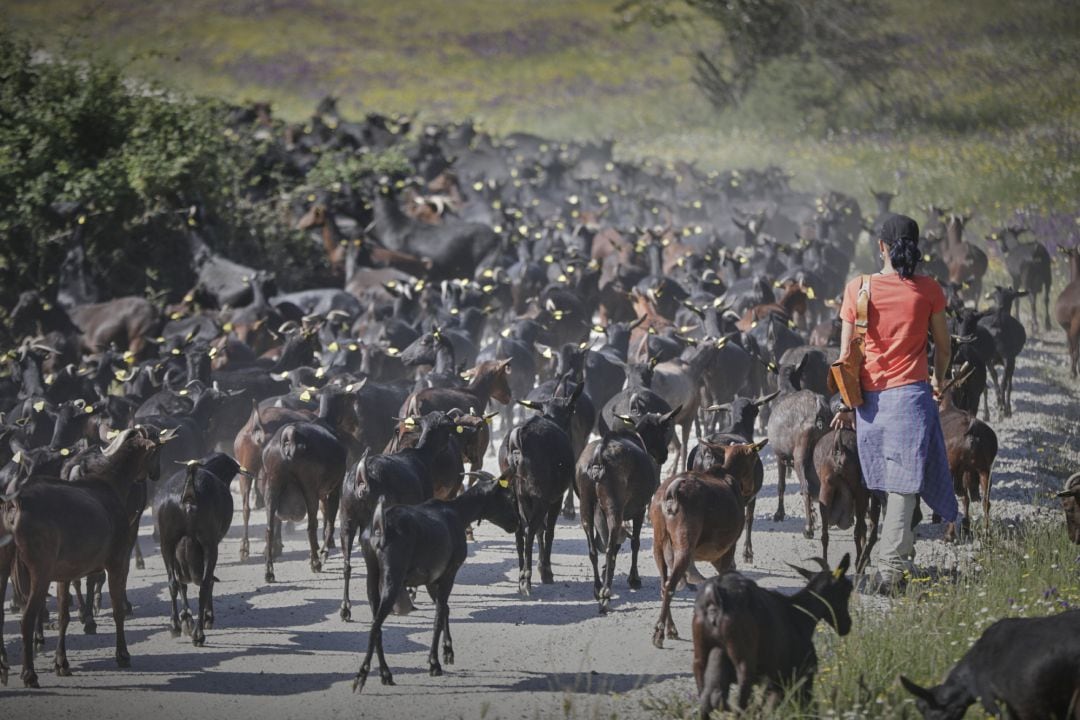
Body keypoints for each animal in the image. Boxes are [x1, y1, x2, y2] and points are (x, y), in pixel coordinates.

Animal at [354, 472, 518, 690]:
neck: (457, 513)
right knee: (375, 625)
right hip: (392, 575)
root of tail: (379, 526)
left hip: (372, 574)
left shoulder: (432, 578)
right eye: (508, 497)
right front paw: (434, 663)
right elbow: (439, 614)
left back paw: (385, 674)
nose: (516, 523)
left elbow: (444, 609)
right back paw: (362, 675)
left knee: (377, 624)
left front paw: (448, 651)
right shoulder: (449, 571)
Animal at [648, 442, 768, 651]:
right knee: (670, 585)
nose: (752, 488)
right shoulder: (728, 546)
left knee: (664, 584)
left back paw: (670, 629)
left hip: (659, 542)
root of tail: (671, 494)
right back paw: (659, 633)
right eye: (754, 460)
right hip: (684, 543)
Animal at [691, 552, 851, 716]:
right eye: (848, 589)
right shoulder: (798, 676)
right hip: (744, 662)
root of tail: (716, 599)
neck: (799, 613)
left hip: (701, 656)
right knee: (740, 700)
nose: (846, 625)